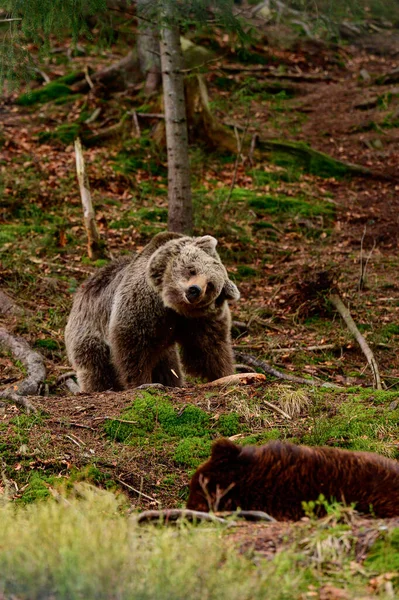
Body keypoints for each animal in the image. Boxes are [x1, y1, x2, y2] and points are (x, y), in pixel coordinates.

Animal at [65, 232, 241, 392]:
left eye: (210, 284)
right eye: (192, 270)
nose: (194, 290)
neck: (174, 306)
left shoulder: (200, 320)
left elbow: (210, 348)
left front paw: (225, 375)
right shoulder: (145, 304)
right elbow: (132, 342)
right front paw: (140, 382)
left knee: (168, 365)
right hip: (90, 327)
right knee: (95, 365)